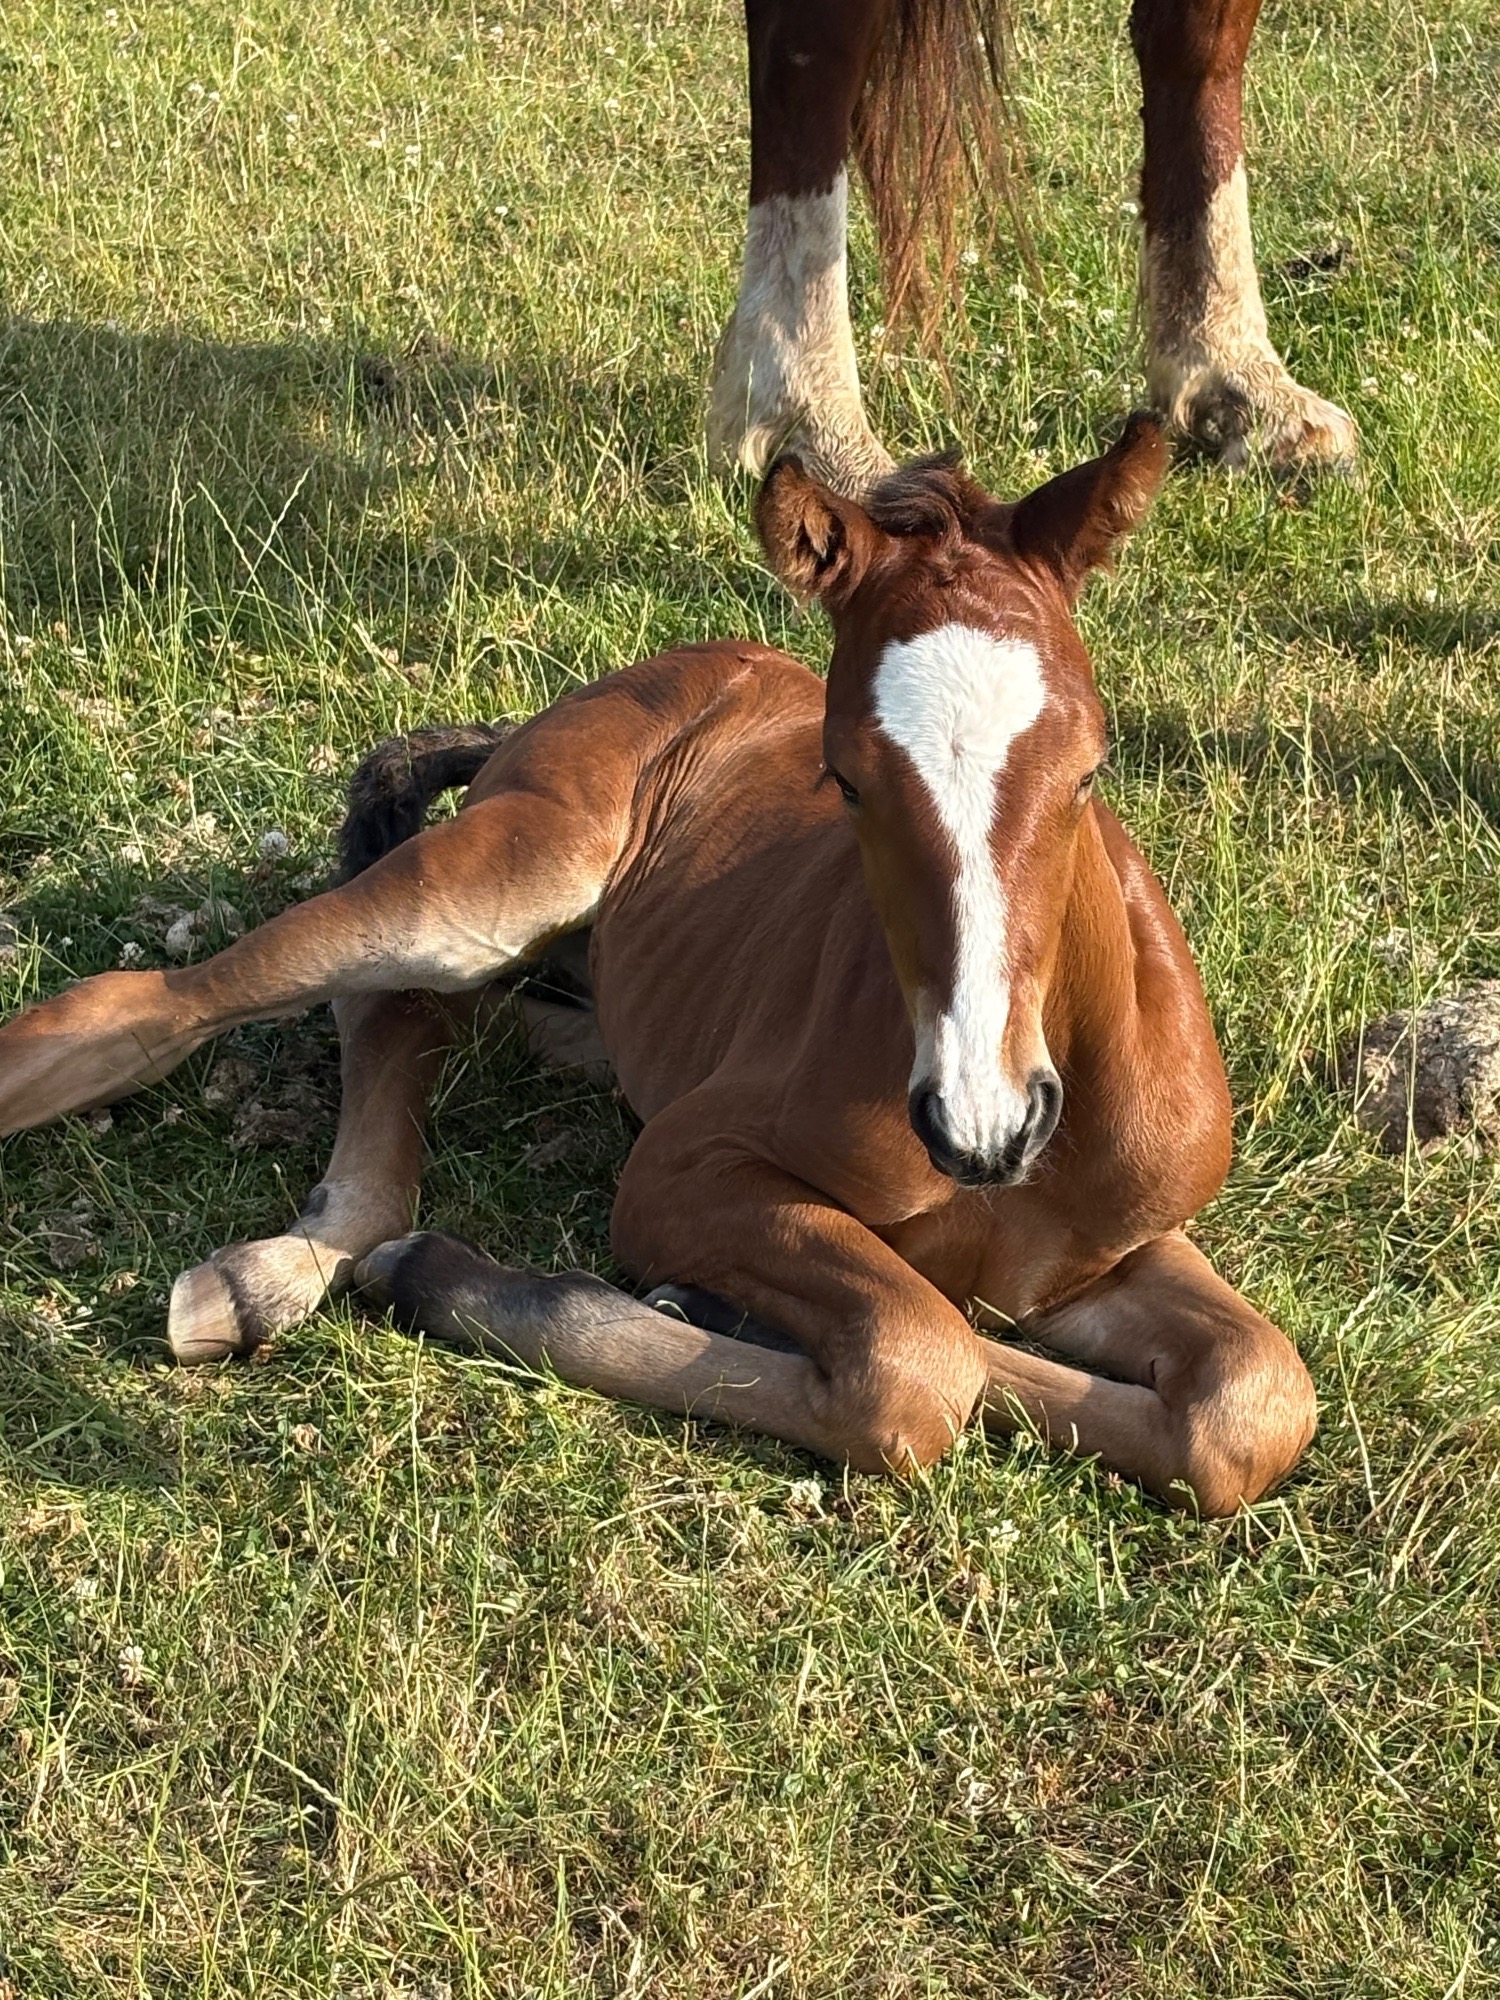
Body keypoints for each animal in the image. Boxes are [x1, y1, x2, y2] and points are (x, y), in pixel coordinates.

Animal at [0, 414, 1317, 1512]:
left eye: (1093, 763)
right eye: (845, 777)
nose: (983, 1123)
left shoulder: (1105, 1251)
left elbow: (1252, 1402)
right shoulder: (684, 1169)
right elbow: (920, 1355)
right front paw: (493, 1281)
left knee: (429, 1011)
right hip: (505, 871)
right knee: (183, 999)